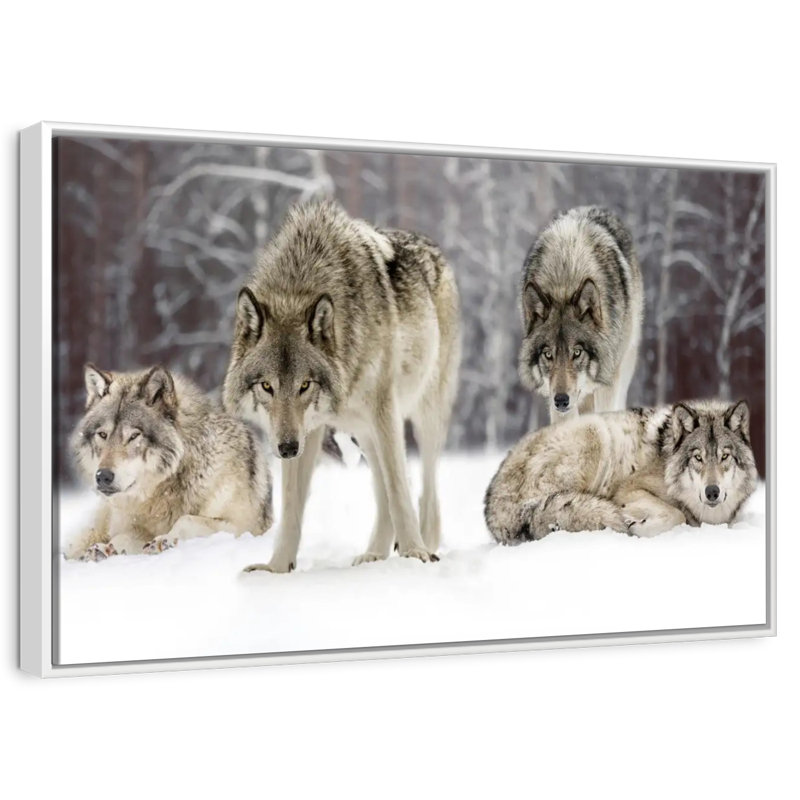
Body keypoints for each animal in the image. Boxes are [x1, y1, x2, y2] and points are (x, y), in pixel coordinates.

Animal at [67, 364, 272, 559]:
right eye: (103, 435)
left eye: (134, 436)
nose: (103, 476)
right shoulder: (134, 526)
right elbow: (125, 536)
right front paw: (106, 549)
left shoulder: (244, 527)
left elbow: (185, 520)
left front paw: (163, 540)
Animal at [223, 200, 461, 572]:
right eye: (267, 386)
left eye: (305, 384)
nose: (287, 449)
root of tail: (433, 247)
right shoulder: (305, 430)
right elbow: (291, 508)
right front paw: (276, 569)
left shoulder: (384, 410)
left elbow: (399, 489)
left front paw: (414, 552)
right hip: (363, 431)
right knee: (383, 491)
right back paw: (374, 555)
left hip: (423, 417)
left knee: (424, 492)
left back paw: (423, 545)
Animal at [484, 399, 757, 544]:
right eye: (698, 458)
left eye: (724, 456)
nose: (712, 492)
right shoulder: (629, 488)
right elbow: (676, 514)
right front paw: (636, 525)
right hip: (595, 431)